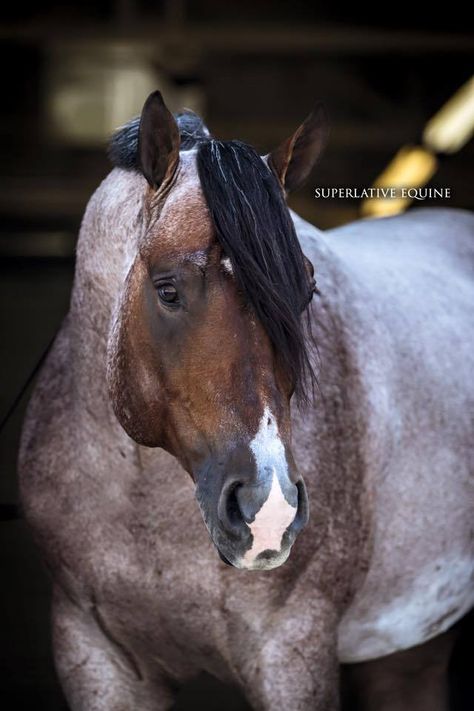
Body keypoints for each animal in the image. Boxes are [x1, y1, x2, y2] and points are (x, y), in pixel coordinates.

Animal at [19, 92, 474, 708]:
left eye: (305, 291)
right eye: (167, 290)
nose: (269, 509)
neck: (147, 517)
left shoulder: (290, 655)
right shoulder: (95, 657)